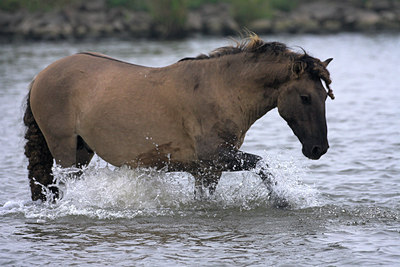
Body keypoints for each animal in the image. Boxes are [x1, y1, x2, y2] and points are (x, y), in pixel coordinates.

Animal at [23, 34, 332, 204]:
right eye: (305, 97)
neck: (222, 88)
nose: (318, 148)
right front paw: (281, 201)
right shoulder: (216, 157)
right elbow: (263, 165)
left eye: (325, 96)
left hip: (82, 149)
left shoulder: (208, 170)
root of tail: (40, 76)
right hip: (63, 147)